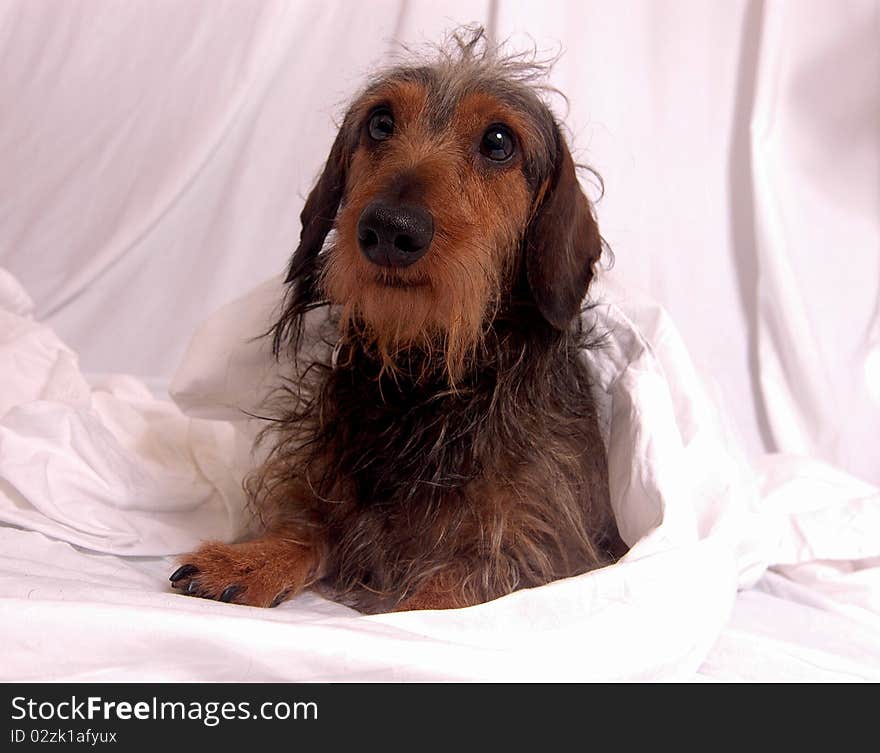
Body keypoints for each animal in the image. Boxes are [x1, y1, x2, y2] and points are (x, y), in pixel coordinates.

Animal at [172, 30, 624, 616]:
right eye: (381, 122)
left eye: (499, 141)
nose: (389, 228)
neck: (423, 384)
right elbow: (307, 527)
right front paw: (249, 560)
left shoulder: (539, 547)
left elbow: (439, 594)